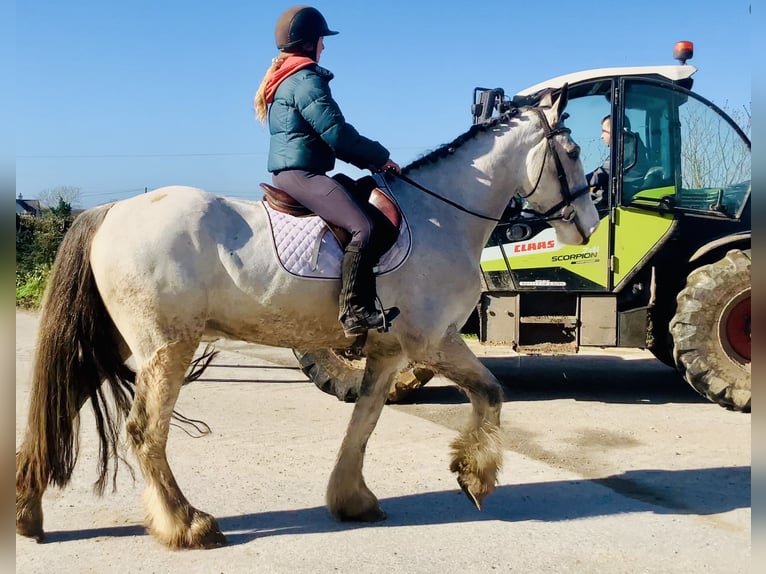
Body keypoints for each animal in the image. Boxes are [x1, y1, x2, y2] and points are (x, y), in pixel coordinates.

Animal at [16, 86, 599, 549]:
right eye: (571, 151)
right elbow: (491, 392)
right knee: (144, 431)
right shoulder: (432, 341)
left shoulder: (389, 351)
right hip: (166, 349)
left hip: (115, 344)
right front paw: (474, 477)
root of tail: (112, 211)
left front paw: (352, 499)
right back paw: (187, 524)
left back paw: (27, 512)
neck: (442, 215)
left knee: (63, 404)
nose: (589, 224)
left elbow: (365, 420)